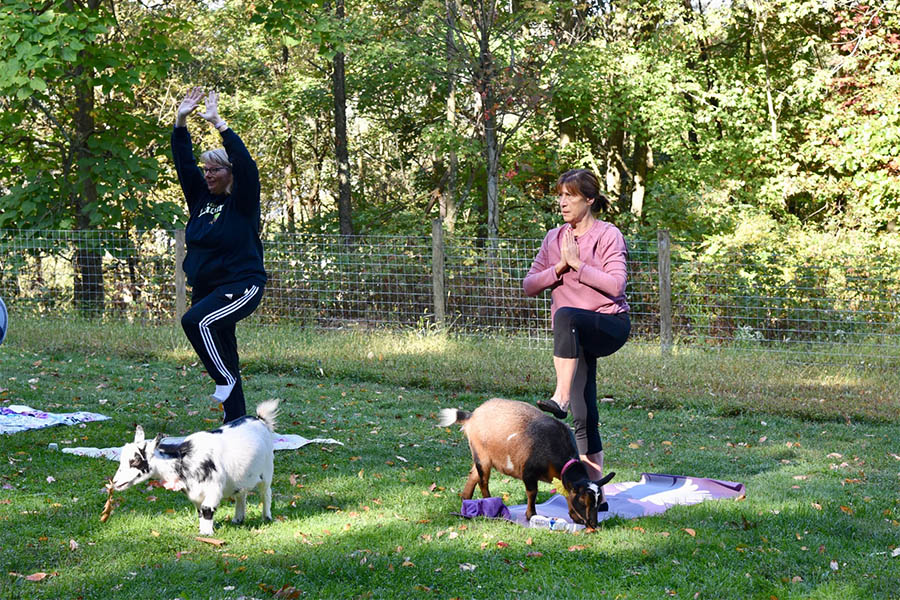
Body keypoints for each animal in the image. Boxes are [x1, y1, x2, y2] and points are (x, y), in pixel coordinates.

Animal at [114, 398, 280, 536]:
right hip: (242, 476)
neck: (185, 458)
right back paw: (238, 519)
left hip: (267, 471)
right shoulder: (195, 494)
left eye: (135, 461)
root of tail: (260, 419)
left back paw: (266, 517)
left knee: (266, 493)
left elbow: (207, 509)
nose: (114, 482)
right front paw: (203, 532)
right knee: (241, 494)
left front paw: (207, 536)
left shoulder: (214, 489)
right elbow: (200, 512)